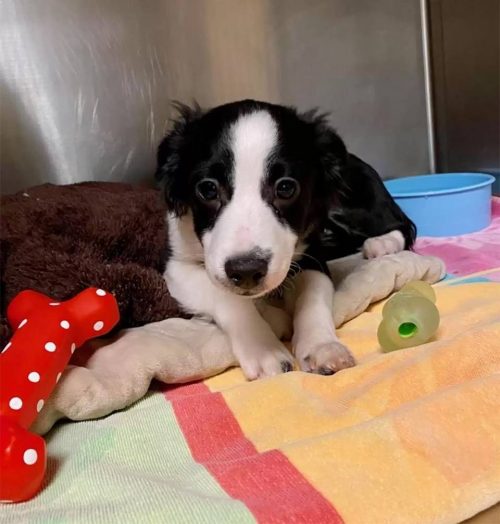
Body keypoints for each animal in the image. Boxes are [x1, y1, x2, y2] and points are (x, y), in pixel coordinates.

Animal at [155, 100, 414, 378]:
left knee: (400, 223)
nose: (247, 271)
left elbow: (313, 295)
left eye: (286, 188)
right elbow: (225, 294)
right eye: (207, 189)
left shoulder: (313, 258)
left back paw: (383, 244)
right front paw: (263, 347)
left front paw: (322, 345)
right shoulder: (176, 266)